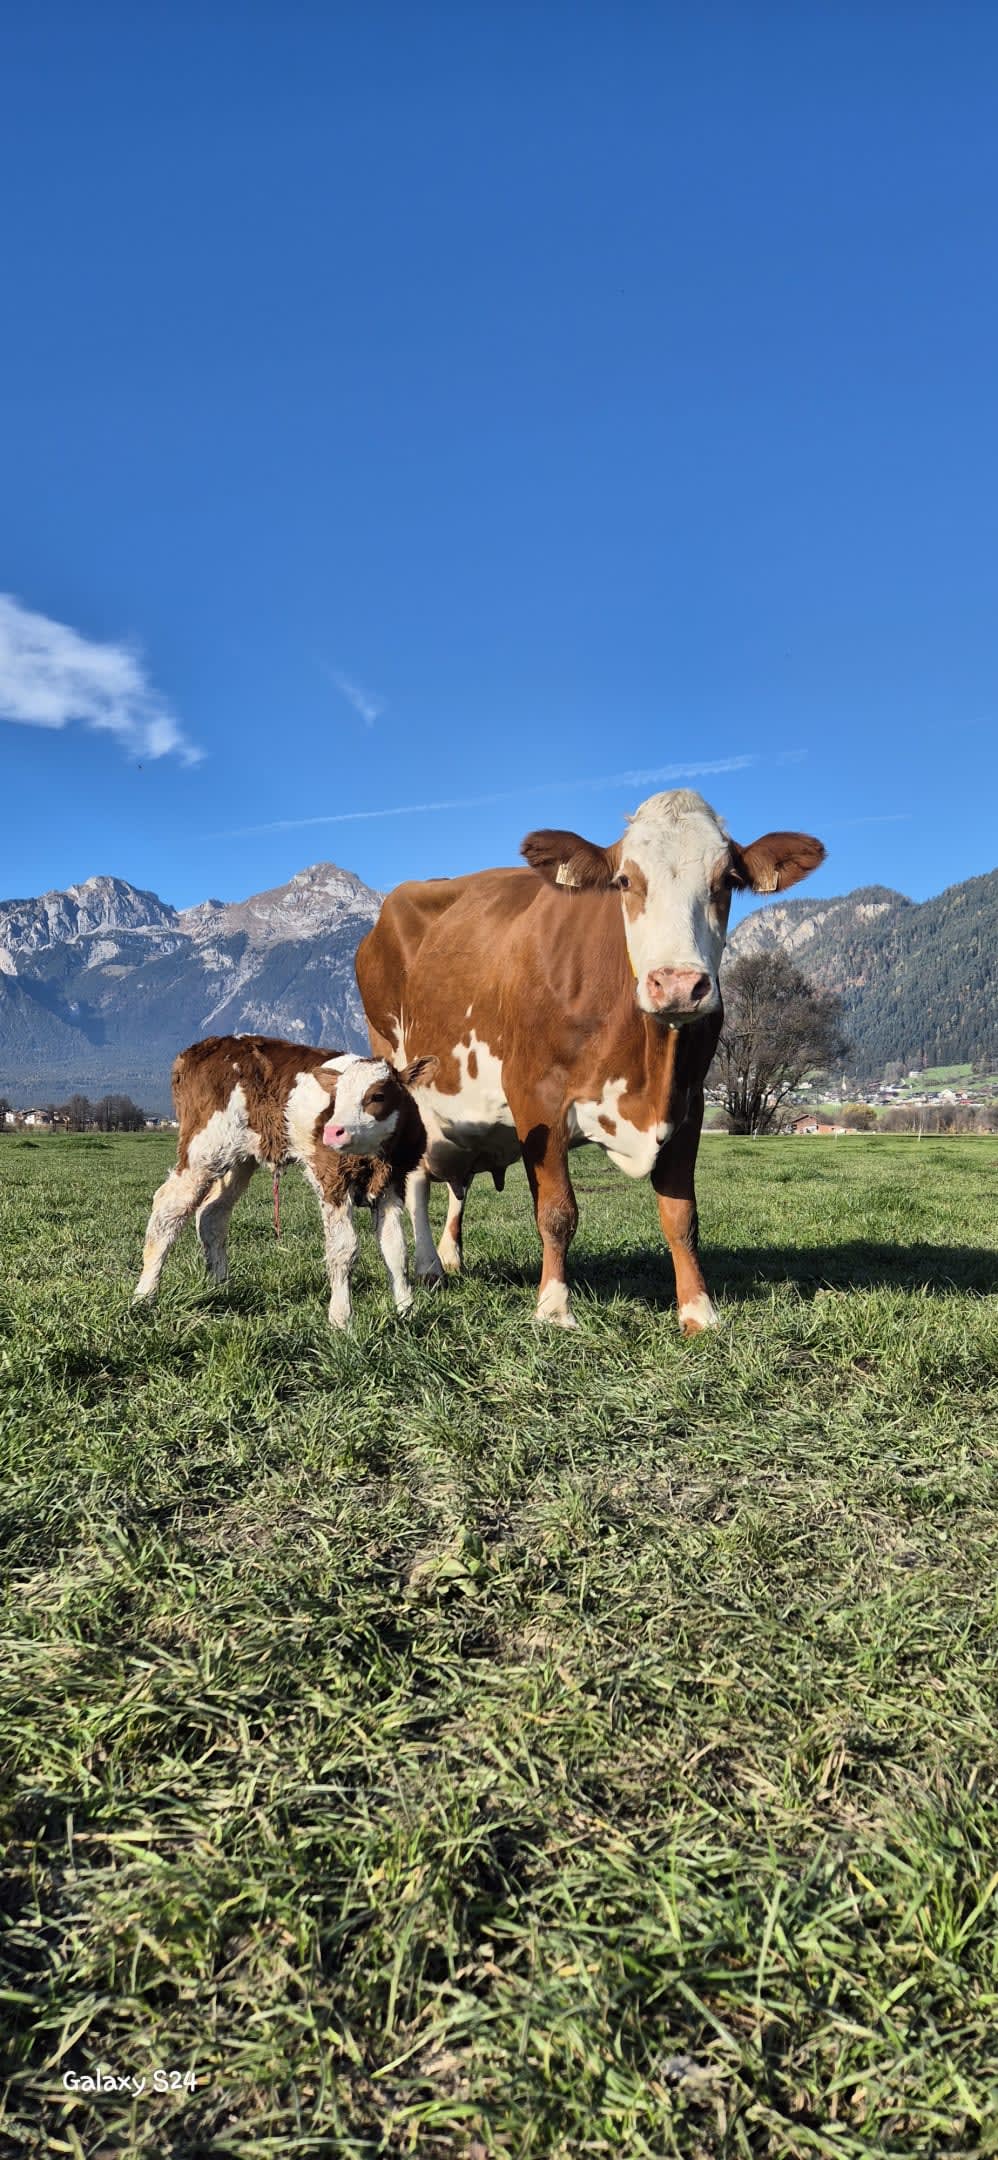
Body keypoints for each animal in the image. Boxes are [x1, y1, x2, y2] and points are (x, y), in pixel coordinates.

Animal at [132, 1035, 435, 1326]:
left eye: (378, 1095)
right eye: (336, 1097)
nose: (333, 1131)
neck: (375, 1157)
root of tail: (199, 1050)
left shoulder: (393, 1183)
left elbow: (396, 1249)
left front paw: (407, 1313)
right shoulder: (331, 1178)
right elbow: (343, 1249)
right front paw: (341, 1319)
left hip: (241, 1158)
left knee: (212, 1214)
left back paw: (222, 1288)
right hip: (204, 1148)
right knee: (168, 1210)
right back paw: (144, 1296)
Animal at [355, 789, 824, 1329]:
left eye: (726, 880)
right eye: (624, 880)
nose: (678, 984)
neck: (648, 1072)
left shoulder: (689, 1103)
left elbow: (681, 1217)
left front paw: (698, 1311)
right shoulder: (535, 1098)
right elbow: (557, 1212)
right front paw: (554, 1307)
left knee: (456, 1182)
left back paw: (451, 1257)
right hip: (398, 1080)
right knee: (414, 1184)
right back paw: (428, 1267)